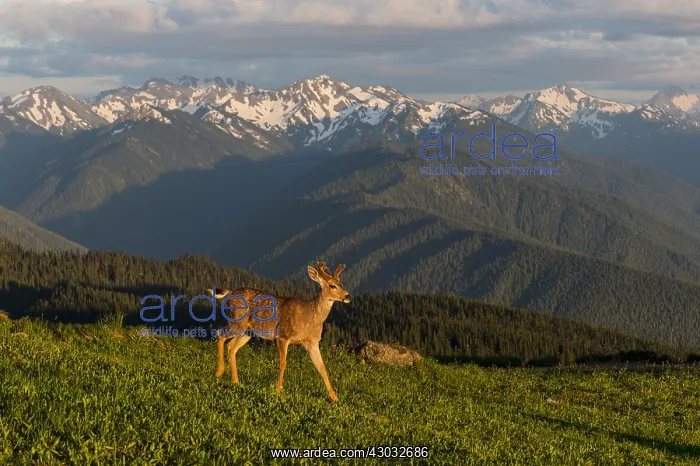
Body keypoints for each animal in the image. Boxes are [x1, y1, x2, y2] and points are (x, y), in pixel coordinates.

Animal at [214, 262, 351, 402]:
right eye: (332, 285)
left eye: (341, 283)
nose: (347, 296)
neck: (308, 316)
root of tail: (230, 292)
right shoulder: (283, 336)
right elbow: (283, 364)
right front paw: (279, 390)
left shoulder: (312, 342)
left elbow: (322, 368)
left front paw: (335, 397)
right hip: (236, 322)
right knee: (219, 334)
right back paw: (219, 372)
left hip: (247, 331)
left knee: (231, 347)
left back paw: (236, 381)